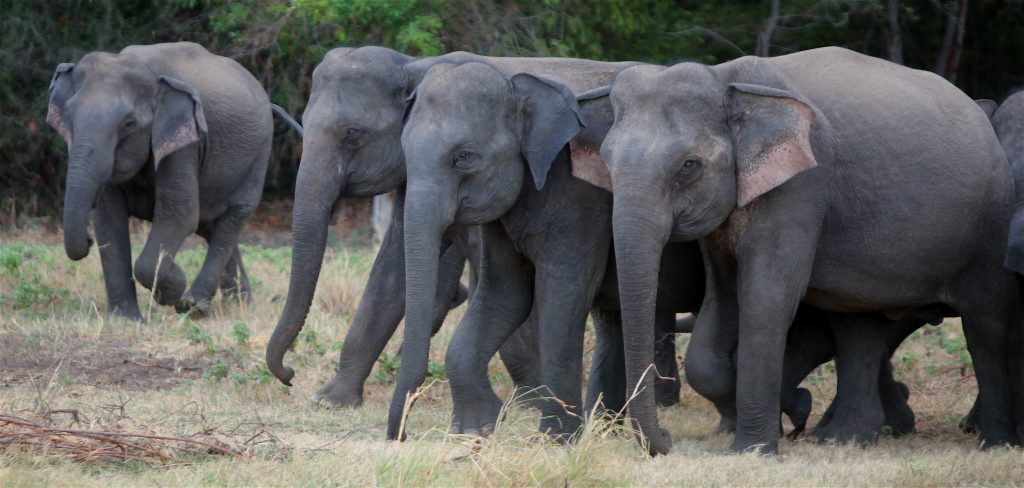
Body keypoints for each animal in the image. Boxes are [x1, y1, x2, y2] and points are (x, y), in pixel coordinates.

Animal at [46, 40, 299, 315]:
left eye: (128, 124)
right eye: (69, 117)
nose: (88, 240)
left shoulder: (187, 144)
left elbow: (179, 214)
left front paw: (173, 287)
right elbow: (108, 217)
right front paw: (125, 318)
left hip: (259, 154)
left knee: (233, 217)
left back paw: (194, 305)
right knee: (210, 224)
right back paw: (240, 307)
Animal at [589, 45, 1019, 452]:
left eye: (689, 165)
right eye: (605, 161)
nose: (665, 441)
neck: (727, 81)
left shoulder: (802, 184)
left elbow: (768, 293)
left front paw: (755, 447)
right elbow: (721, 299)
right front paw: (791, 411)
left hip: (990, 224)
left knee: (985, 324)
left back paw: (994, 443)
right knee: (860, 327)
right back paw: (844, 438)